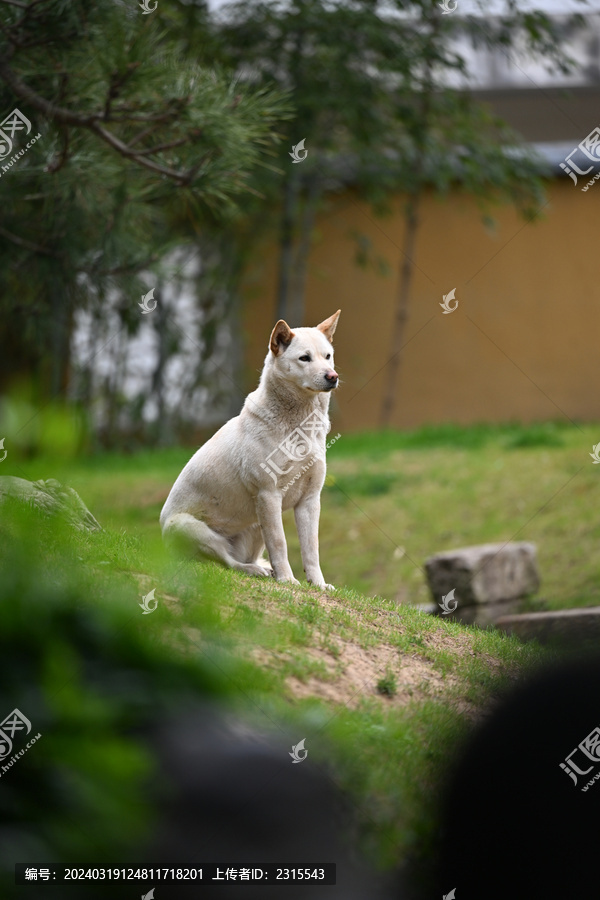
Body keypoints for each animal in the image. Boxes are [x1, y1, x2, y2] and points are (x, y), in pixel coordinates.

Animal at [159, 312, 340, 588]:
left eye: (327, 356)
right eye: (304, 358)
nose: (332, 376)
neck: (299, 429)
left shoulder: (309, 500)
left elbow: (311, 549)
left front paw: (318, 584)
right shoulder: (268, 495)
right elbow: (281, 543)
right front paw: (288, 580)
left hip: (256, 525)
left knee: (245, 558)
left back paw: (265, 570)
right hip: (189, 527)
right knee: (229, 562)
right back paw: (256, 571)